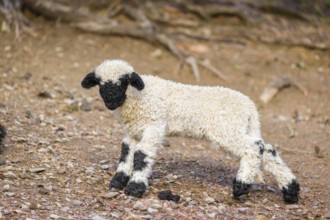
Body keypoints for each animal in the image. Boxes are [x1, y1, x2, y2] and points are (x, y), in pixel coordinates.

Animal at [81, 59, 300, 204]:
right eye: (100, 83)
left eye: (123, 82)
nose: (110, 101)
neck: (137, 96)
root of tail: (250, 107)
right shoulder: (133, 131)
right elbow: (126, 152)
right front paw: (118, 180)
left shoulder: (154, 126)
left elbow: (141, 155)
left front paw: (135, 187)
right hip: (240, 128)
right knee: (266, 149)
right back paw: (291, 191)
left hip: (226, 129)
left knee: (253, 149)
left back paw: (241, 185)